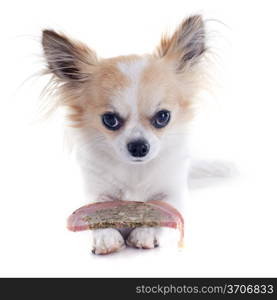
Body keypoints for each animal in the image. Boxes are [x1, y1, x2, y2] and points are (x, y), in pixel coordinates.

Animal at [41, 14, 211, 253]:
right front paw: (106, 237)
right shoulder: (97, 191)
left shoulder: (172, 192)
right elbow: (98, 212)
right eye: (109, 120)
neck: (135, 171)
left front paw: (145, 233)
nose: (139, 146)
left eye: (163, 117)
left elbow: (161, 209)